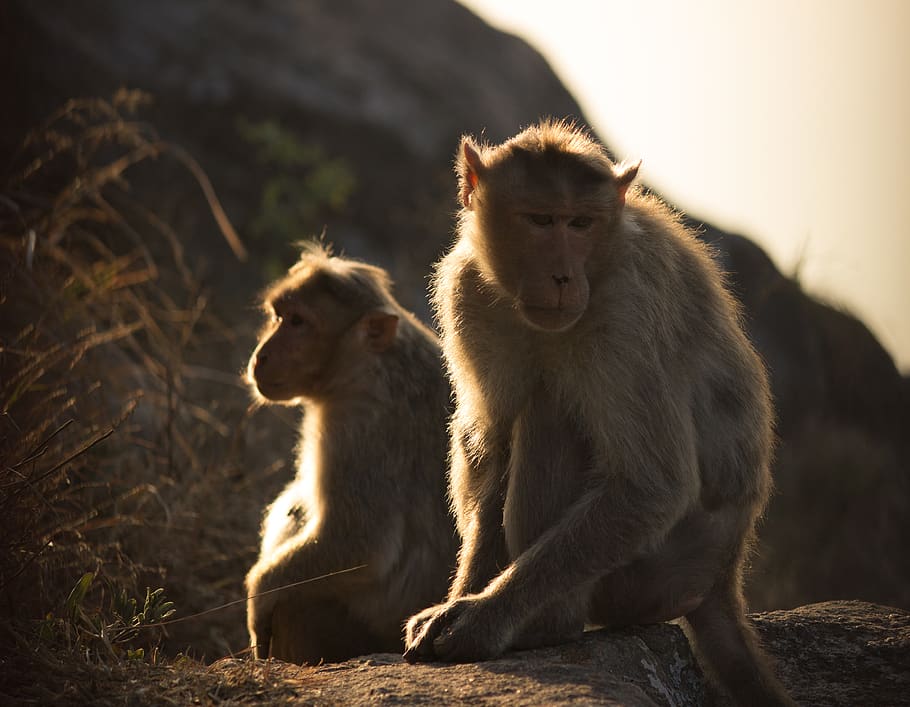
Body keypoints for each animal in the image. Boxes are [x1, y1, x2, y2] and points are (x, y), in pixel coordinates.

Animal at [244, 241, 457, 664]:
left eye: (298, 322)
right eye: (279, 317)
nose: (260, 356)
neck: (368, 364)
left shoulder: (358, 425)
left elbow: (359, 543)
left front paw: (259, 594)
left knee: (294, 605)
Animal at [403, 121, 794, 706]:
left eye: (580, 223)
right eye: (542, 220)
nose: (564, 277)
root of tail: (724, 575)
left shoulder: (625, 314)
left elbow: (651, 484)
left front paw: (484, 615)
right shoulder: (466, 291)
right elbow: (489, 439)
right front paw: (462, 595)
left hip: (654, 573)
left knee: (550, 415)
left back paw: (547, 626)